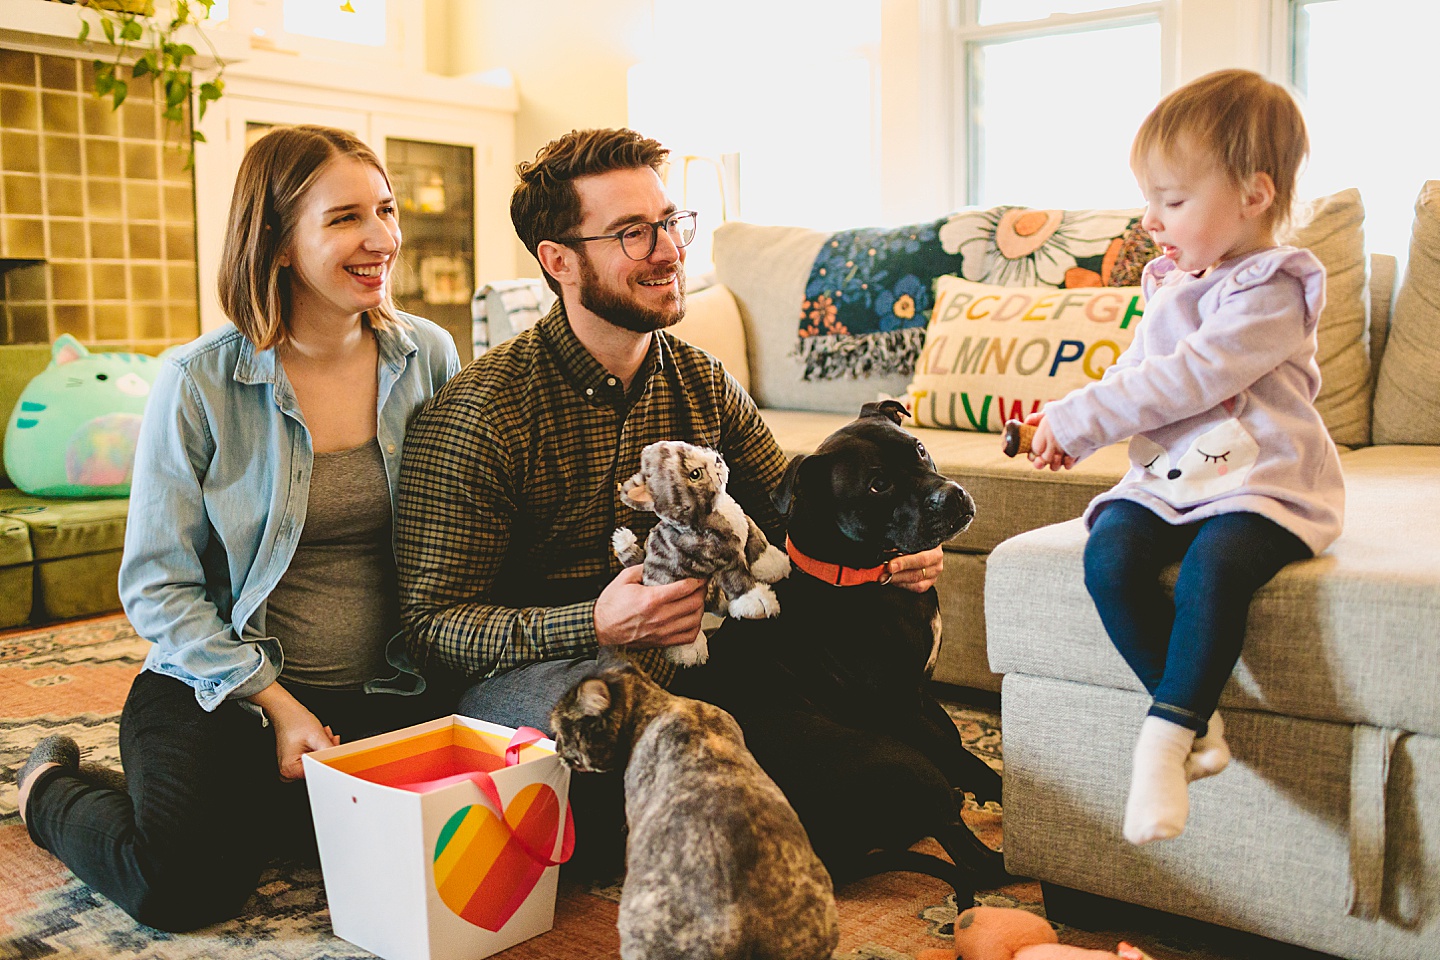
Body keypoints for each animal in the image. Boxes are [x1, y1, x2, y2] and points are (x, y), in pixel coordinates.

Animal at [676, 400, 1008, 892]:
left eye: (920, 449)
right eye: (877, 484)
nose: (951, 496)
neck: (854, 572)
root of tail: (829, 861)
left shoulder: (921, 692)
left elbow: (950, 729)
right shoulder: (902, 708)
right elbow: (966, 758)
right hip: (905, 764)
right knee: (975, 860)